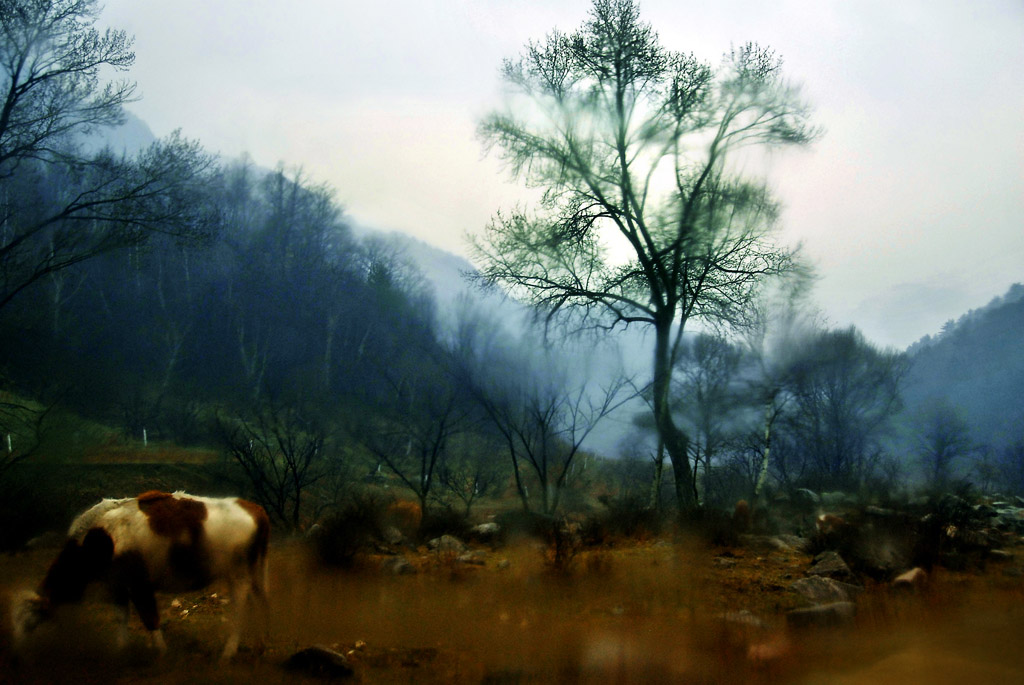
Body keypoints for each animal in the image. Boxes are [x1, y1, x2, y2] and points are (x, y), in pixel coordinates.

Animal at [12, 489, 268, 659]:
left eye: (30, 620)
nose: (16, 652)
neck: (98, 539)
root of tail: (255, 509)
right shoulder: (117, 585)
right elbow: (121, 616)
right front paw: (121, 649)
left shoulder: (139, 584)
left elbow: (150, 618)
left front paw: (161, 653)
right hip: (252, 574)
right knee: (258, 604)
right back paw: (258, 647)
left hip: (239, 574)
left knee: (240, 609)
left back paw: (229, 652)